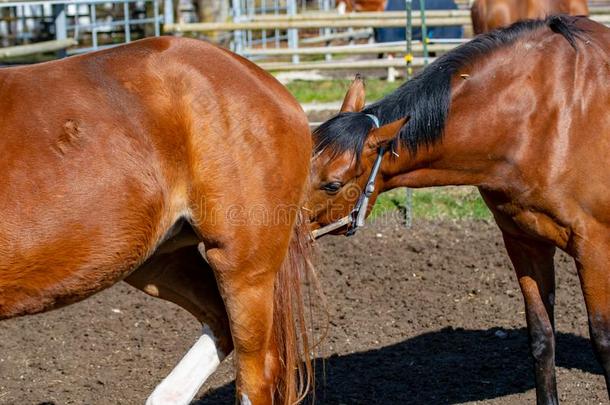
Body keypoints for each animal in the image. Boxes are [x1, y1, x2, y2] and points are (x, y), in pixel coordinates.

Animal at [308, 15, 608, 404]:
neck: (547, 120)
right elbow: (542, 338)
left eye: (332, 184)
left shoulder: (593, 248)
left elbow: (603, 341)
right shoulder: (524, 242)